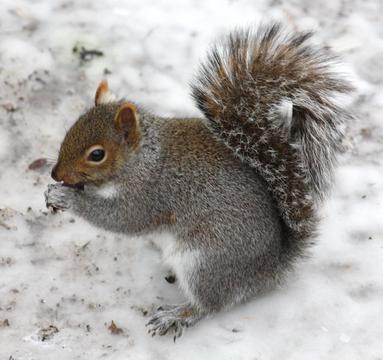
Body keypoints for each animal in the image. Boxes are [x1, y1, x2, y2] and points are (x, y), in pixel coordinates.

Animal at [44, 23, 354, 340]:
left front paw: (67, 198)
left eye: (97, 154)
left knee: (210, 304)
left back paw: (177, 315)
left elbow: (121, 219)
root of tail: (269, 268)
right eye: (70, 129)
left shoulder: (150, 193)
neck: (143, 158)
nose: (56, 174)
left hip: (203, 262)